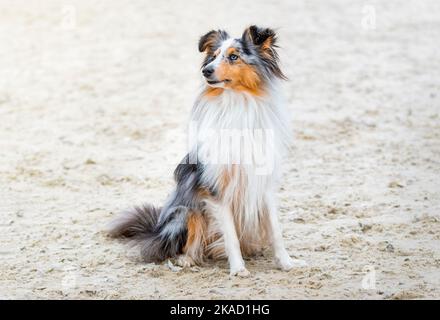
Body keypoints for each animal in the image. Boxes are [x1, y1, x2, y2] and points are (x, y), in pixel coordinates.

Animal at [109, 25, 306, 276]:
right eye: (213, 56)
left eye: (234, 56)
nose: (206, 70)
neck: (237, 102)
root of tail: (156, 230)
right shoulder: (215, 188)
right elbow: (230, 235)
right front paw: (238, 269)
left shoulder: (263, 184)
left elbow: (276, 230)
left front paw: (287, 263)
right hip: (185, 209)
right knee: (180, 246)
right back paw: (186, 260)